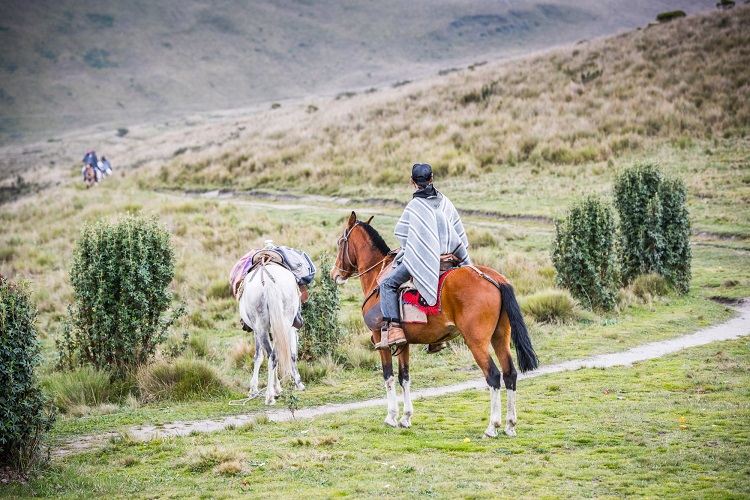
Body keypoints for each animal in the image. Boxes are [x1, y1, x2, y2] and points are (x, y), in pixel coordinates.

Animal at [238, 264, 302, 404]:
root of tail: (268, 282)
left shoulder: (258, 331)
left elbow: (258, 356)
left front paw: (254, 389)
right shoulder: (285, 329)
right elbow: (290, 355)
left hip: (261, 327)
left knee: (272, 356)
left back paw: (270, 396)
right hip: (283, 323)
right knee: (276, 356)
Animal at [332, 212, 536, 438]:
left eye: (340, 242)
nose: (335, 274)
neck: (377, 276)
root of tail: (495, 279)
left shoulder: (380, 338)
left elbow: (389, 377)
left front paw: (391, 417)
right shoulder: (403, 342)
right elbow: (405, 377)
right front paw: (406, 417)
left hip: (477, 342)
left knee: (493, 376)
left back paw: (493, 426)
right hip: (500, 337)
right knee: (510, 374)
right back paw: (510, 424)